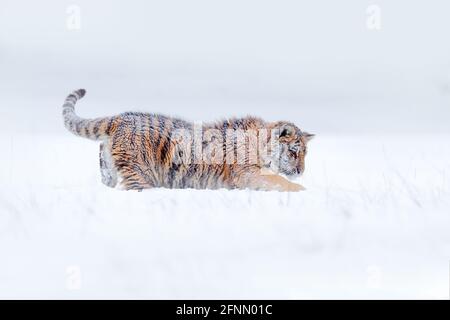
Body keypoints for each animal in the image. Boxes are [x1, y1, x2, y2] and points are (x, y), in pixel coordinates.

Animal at [62, 89, 312, 191]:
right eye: (294, 152)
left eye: (304, 154)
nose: (301, 171)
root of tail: (120, 117)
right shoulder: (248, 174)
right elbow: (280, 182)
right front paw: (302, 190)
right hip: (140, 173)